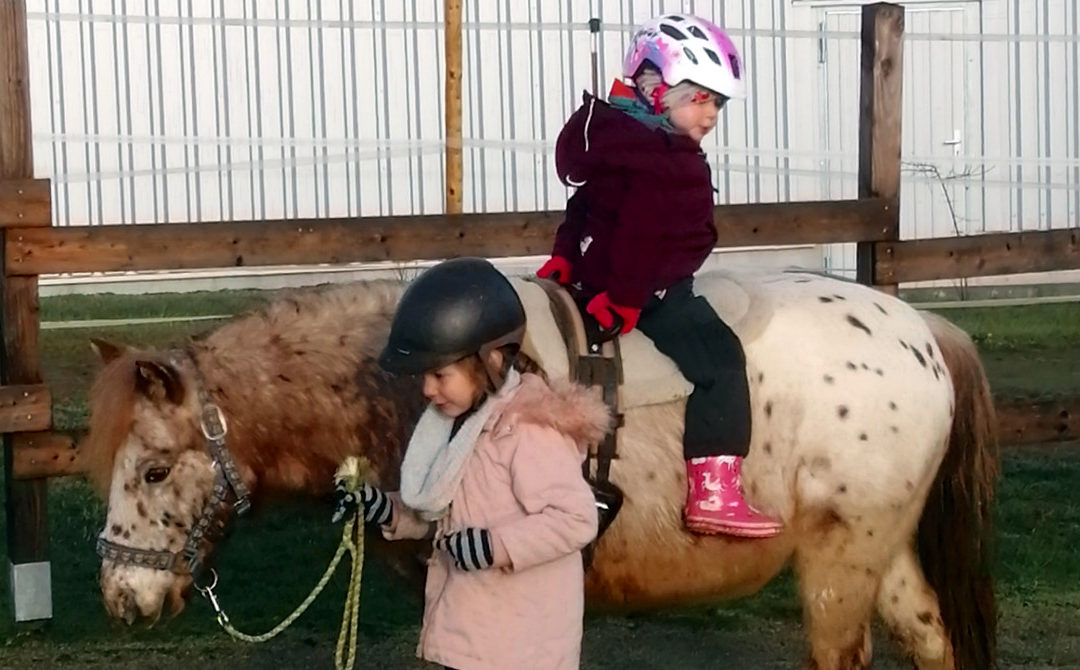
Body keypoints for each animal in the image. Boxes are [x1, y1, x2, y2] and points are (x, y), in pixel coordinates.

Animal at [82, 269, 993, 665]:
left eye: (154, 472)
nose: (120, 601)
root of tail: (924, 330)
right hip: (880, 551)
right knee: (931, 639)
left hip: (841, 560)